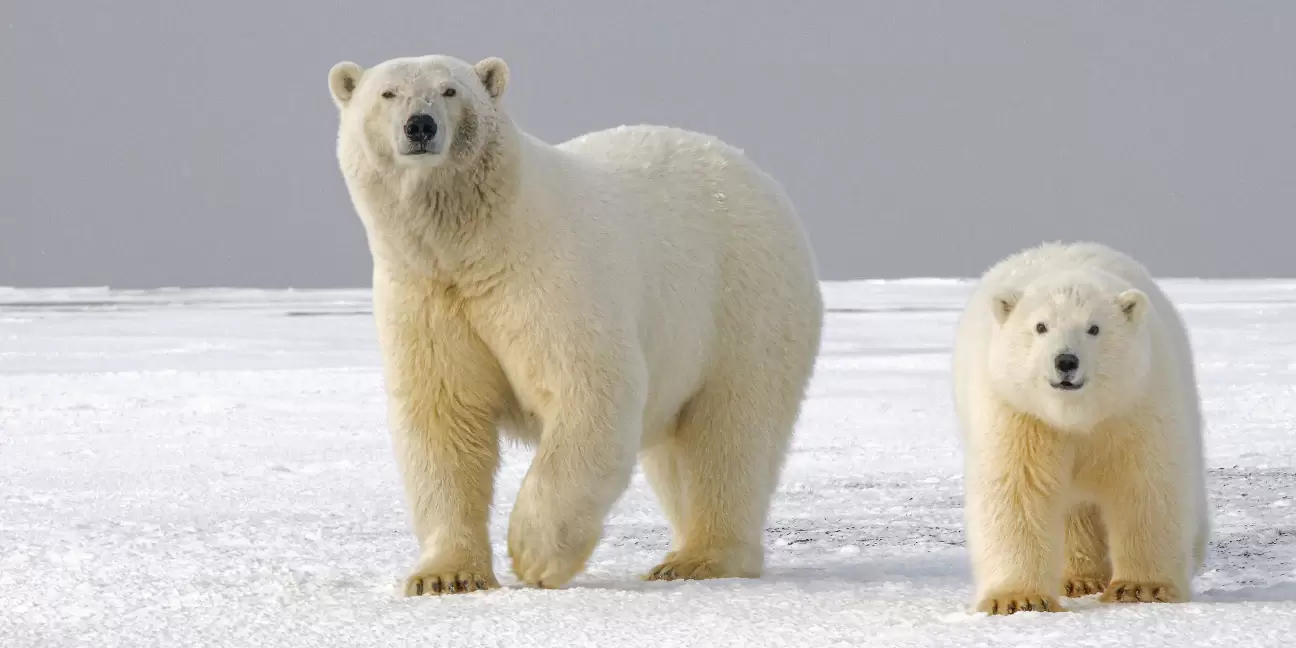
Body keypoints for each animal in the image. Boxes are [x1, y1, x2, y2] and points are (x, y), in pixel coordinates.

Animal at [326, 54, 824, 595]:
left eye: (450, 90)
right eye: (388, 94)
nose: (420, 125)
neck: (477, 244)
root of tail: (758, 175)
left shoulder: (548, 277)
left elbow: (590, 389)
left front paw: (534, 555)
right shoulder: (426, 295)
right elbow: (443, 418)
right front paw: (444, 576)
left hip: (743, 302)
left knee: (730, 432)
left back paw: (699, 558)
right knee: (678, 453)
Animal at [950, 241, 1209, 615]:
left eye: (1094, 328)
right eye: (1040, 326)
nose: (1066, 361)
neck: (1076, 416)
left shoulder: (1135, 405)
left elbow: (1147, 485)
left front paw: (1141, 588)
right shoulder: (1018, 413)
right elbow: (1016, 490)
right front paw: (1018, 599)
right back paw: (1079, 579)